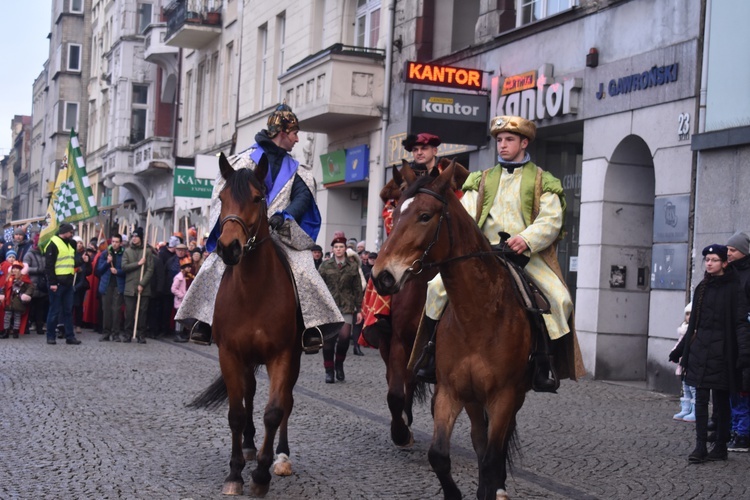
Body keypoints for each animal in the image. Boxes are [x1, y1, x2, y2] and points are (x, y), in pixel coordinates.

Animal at [189, 152, 304, 496]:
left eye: (256, 198)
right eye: (222, 198)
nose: (229, 248)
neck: (254, 291)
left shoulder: (281, 355)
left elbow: (274, 411)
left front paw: (262, 475)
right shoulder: (230, 354)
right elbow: (237, 413)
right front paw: (235, 473)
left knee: (287, 401)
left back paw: (281, 456)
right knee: (250, 392)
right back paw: (250, 446)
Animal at [374, 162, 532, 498]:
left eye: (425, 215)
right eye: (395, 208)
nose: (382, 276)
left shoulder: (503, 393)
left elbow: (490, 453)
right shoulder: (403, 347)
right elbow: (396, 395)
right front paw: (401, 432)